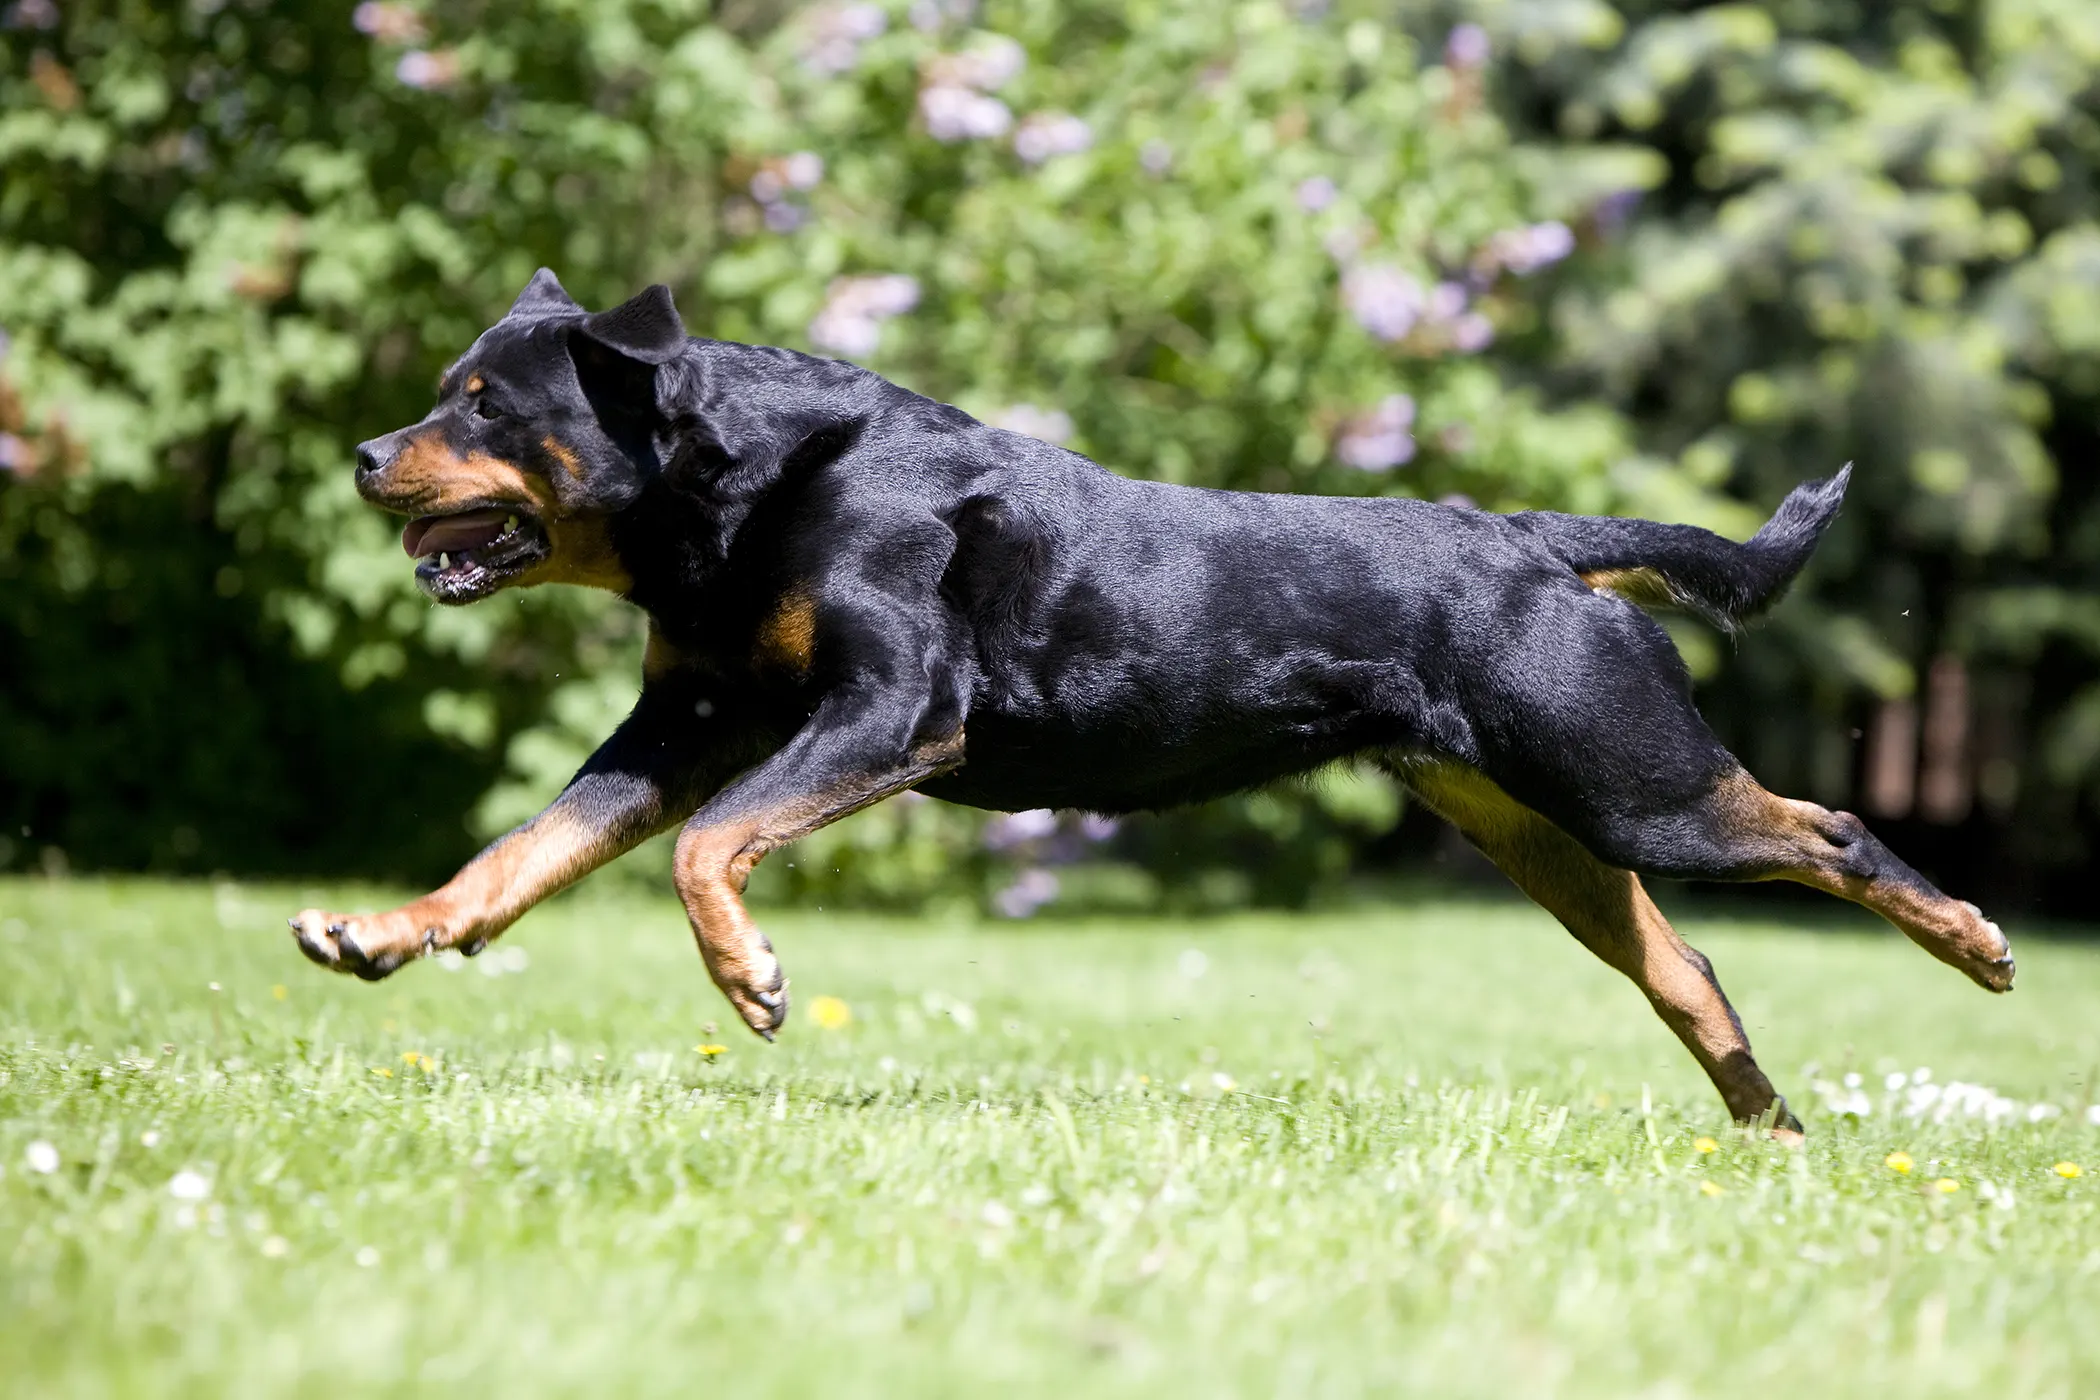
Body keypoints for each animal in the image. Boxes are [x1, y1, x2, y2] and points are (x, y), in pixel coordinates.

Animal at [291, 270, 2015, 1135]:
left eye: (483, 403)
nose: (366, 455)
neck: (743, 493)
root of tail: (1537, 540)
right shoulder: (683, 725)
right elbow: (525, 852)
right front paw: (379, 932)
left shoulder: (894, 709)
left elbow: (706, 849)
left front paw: (752, 980)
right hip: (1543, 828)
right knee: (1686, 962)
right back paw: (1767, 1124)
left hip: (1625, 776)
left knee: (1831, 833)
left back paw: (1973, 945)